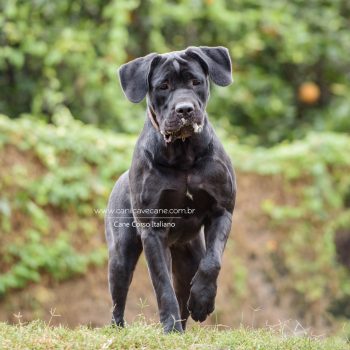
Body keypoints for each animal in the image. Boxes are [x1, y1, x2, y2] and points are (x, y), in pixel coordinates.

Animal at [105, 45, 237, 332]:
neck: (183, 153)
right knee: (118, 300)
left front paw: (202, 301)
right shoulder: (153, 231)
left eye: (196, 82)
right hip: (121, 254)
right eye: (163, 86)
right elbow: (162, 285)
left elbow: (213, 262)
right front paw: (170, 326)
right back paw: (120, 327)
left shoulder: (222, 211)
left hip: (188, 259)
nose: (185, 109)